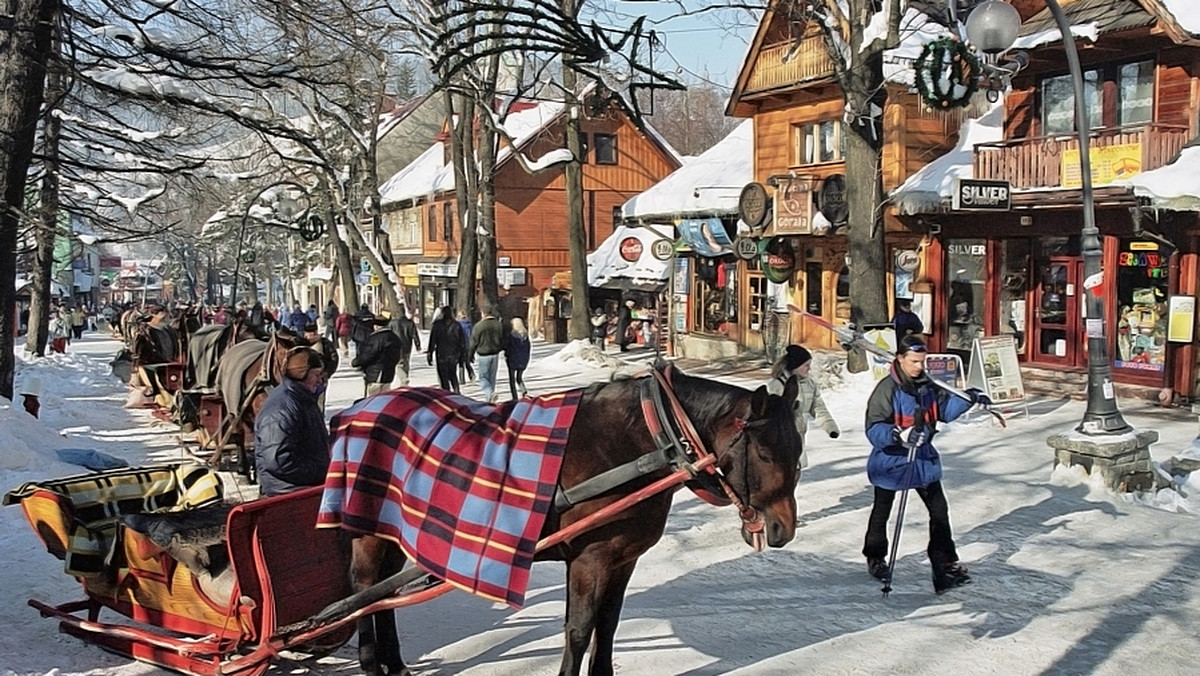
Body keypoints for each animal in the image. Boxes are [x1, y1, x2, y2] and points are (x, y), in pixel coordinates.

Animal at [333, 365, 801, 676]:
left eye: (797, 450)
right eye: (763, 453)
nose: (783, 529)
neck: (643, 444)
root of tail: (358, 408)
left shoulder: (622, 559)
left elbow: (607, 627)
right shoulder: (590, 559)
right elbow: (579, 630)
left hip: (392, 530)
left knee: (383, 595)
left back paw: (395, 663)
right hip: (365, 529)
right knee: (362, 589)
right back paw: (372, 662)